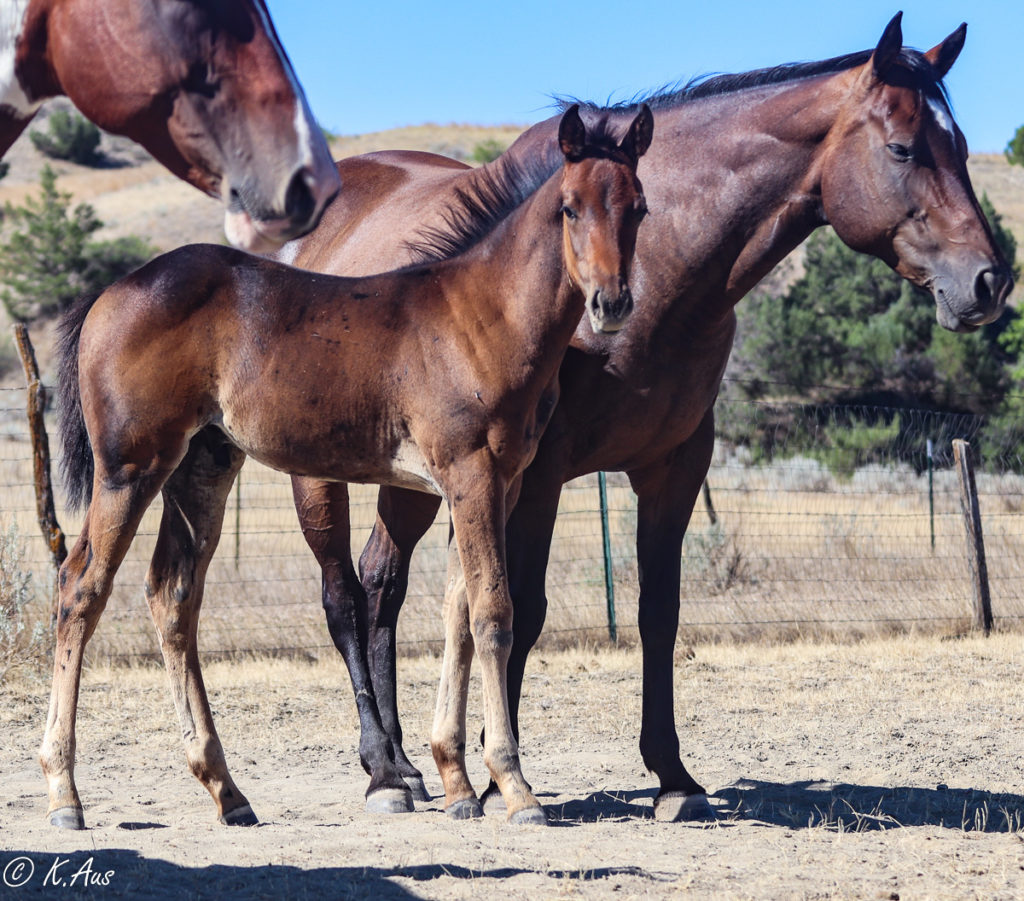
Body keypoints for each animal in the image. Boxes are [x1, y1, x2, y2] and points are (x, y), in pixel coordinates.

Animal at [44, 105, 651, 831]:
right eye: (569, 207)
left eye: (639, 208)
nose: (612, 302)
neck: (482, 314)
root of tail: (110, 291)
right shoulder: (471, 475)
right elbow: (492, 613)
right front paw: (514, 786)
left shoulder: (493, 485)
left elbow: (457, 612)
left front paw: (454, 779)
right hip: (130, 467)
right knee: (80, 588)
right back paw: (65, 793)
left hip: (203, 467)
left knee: (172, 595)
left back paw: (227, 790)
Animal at [276, 12, 1011, 823]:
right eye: (903, 147)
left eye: (962, 147)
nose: (988, 281)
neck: (663, 272)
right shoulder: (536, 476)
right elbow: (518, 609)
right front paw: (505, 779)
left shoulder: (674, 466)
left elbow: (658, 611)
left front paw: (672, 776)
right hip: (323, 477)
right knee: (344, 596)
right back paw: (382, 770)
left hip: (414, 481)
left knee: (383, 582)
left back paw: (408, 766)